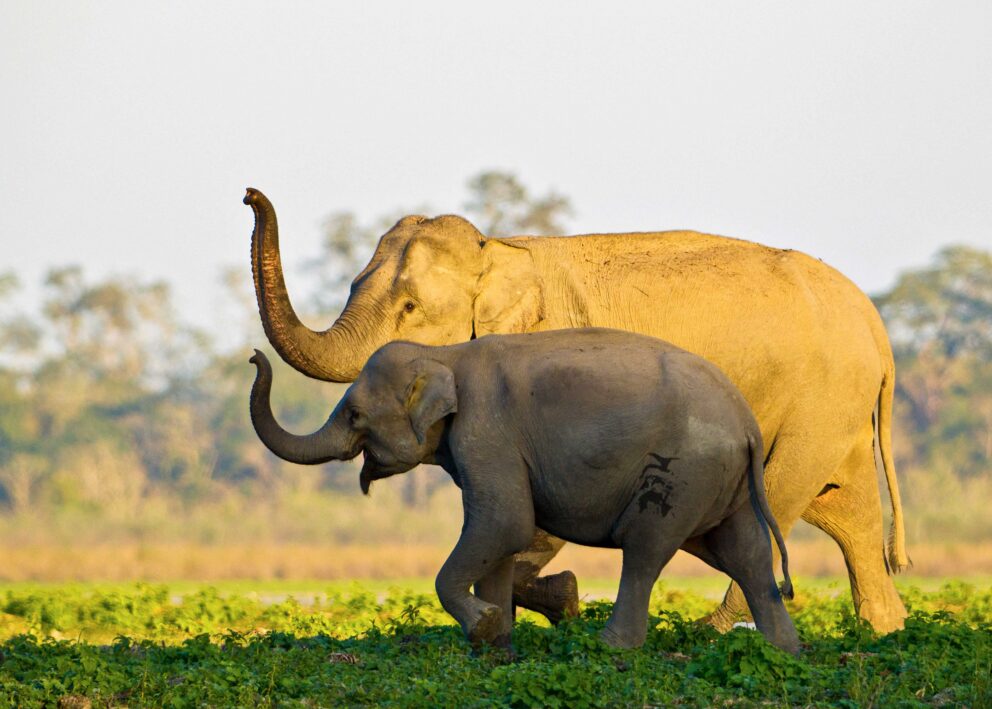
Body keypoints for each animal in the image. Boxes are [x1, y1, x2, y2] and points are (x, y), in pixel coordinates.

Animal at [248, 329, 801, 654]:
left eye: (355, 414)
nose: (253, 355)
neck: (443, 353)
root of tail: (747, 422)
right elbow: (501, 537)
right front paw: (497, 647)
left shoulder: (485, 432)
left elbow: (505, 523)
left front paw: (483, 628)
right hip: (723, 483)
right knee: (747, 555)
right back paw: (784, 652)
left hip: (681, 473)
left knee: (646, 549)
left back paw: (611, 651)